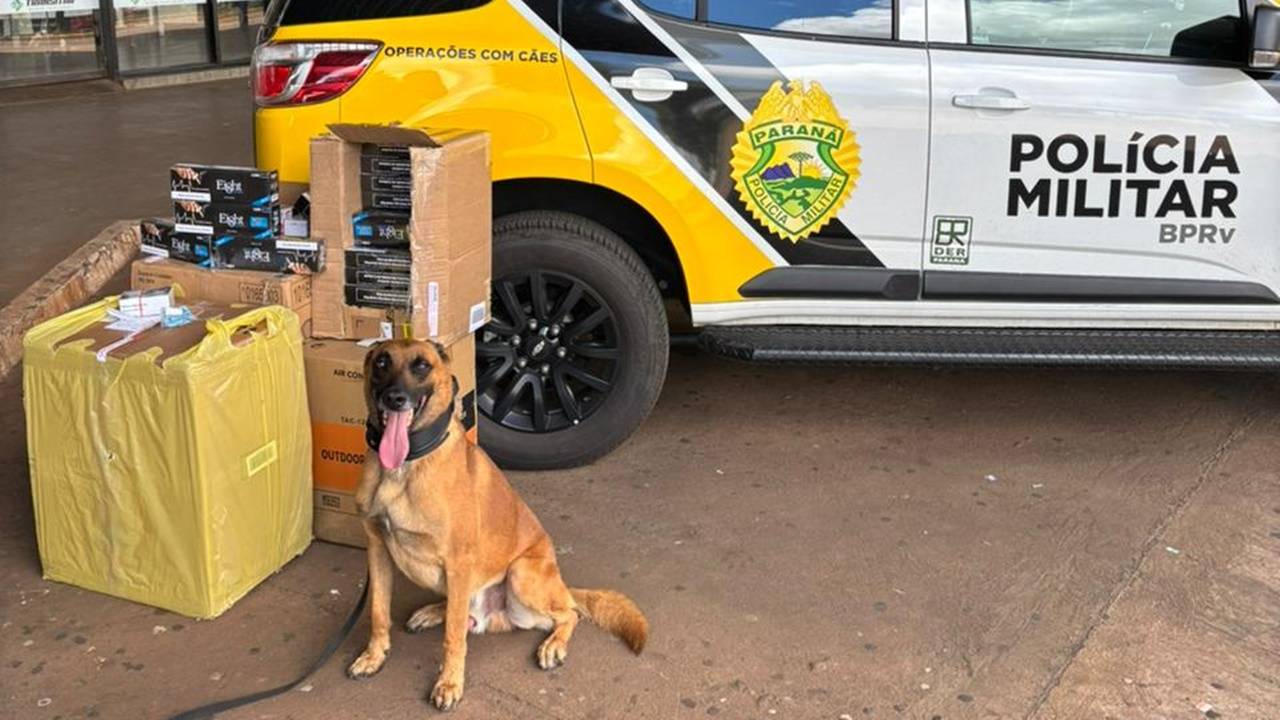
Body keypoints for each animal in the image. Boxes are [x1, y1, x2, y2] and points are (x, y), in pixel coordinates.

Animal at [348, 338, 650, 707]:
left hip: (521, 575)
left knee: (569, 612)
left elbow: (453, 637)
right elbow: (378, 613)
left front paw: (450, 682)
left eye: (421, 365)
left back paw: (553, 644)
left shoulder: (458, 562)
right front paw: (374, 656)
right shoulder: (377, 550)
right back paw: (433, 612)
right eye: (381, 363)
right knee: (461, 609)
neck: (404, 466)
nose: (394, 398)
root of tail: (562, 583)